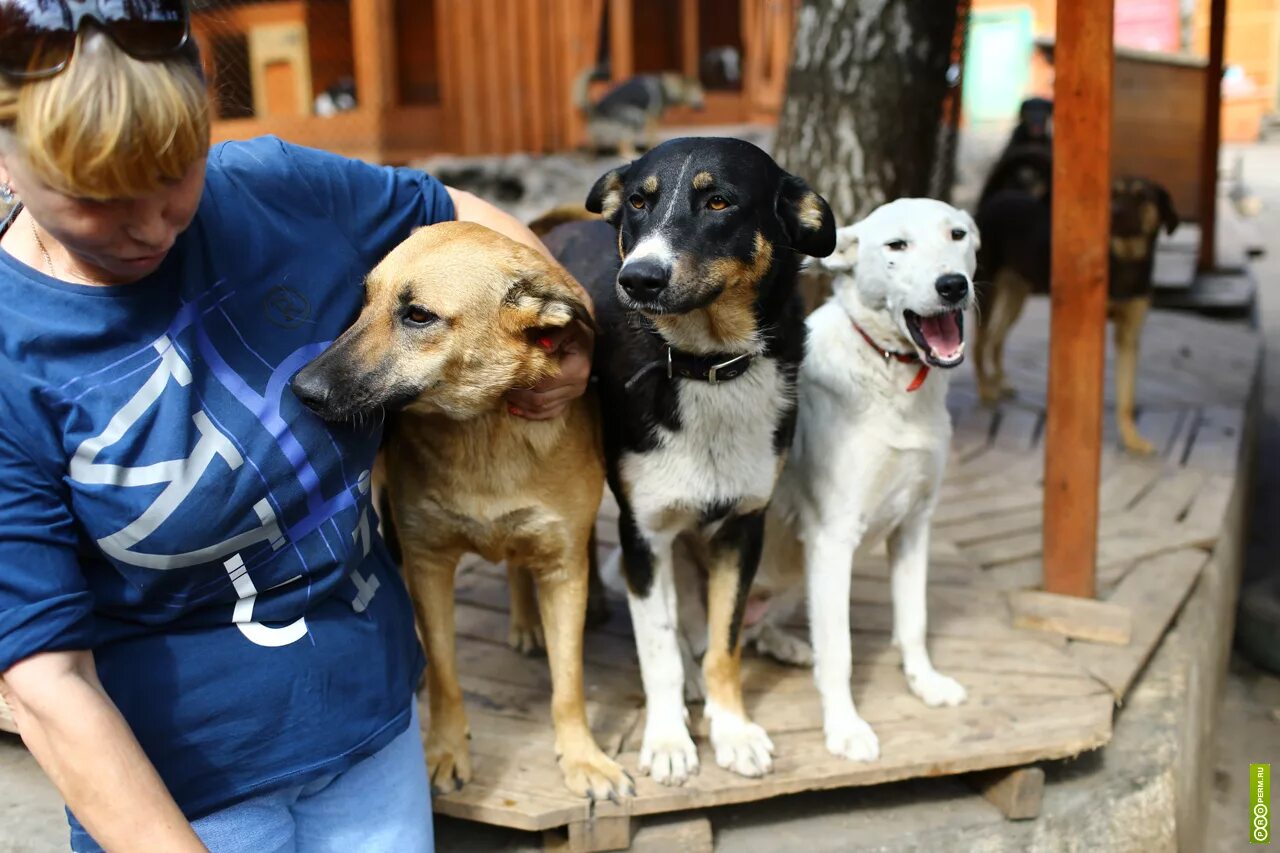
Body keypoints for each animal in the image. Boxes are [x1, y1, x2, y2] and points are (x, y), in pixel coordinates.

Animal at [289, 219, 629, 799]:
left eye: (418, 315)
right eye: (364, 301)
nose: (300, 389)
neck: (484, 427)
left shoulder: (564, 569)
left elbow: (569, 681)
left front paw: (583, 757)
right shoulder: (428, 561)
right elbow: (448, 674)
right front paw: (447, 751)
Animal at [752, 197, 972, 758]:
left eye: (958, 235)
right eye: (897, 245)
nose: (953, 285)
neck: (894, 375)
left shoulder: (915, 525)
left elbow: (913, 621)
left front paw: (925, 683)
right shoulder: (833, 540)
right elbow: (841, 652)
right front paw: (846, 727)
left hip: (794, 581)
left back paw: (786, 645)